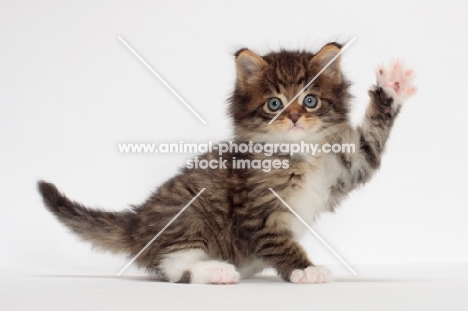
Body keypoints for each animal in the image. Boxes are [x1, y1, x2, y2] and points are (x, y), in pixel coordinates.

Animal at [37, 43, 416, 286]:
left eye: (310, 101)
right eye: (275, 104)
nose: (294, 117)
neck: (296, 153)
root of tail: (138, 221)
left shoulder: (347, 165)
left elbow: (370, 141)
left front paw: (392, 87)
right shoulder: (258, 208)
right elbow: (279, 241)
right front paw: (304, 270)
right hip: (187, 212)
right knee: (173, 266)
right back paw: (214, 271)